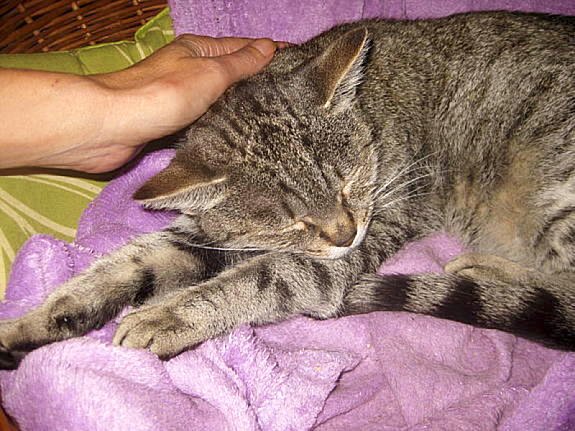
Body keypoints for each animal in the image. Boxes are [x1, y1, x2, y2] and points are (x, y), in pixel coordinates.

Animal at [0, 11, 574, 369]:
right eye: (290, 219)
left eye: (347, 182)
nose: (345, 234)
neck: (378, 113)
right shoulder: (208, 234)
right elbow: (130, 264)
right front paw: (34, 323)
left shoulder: (372, 226)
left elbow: (265, 278)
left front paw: (169, 315)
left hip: (555, 191)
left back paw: (485, 271)